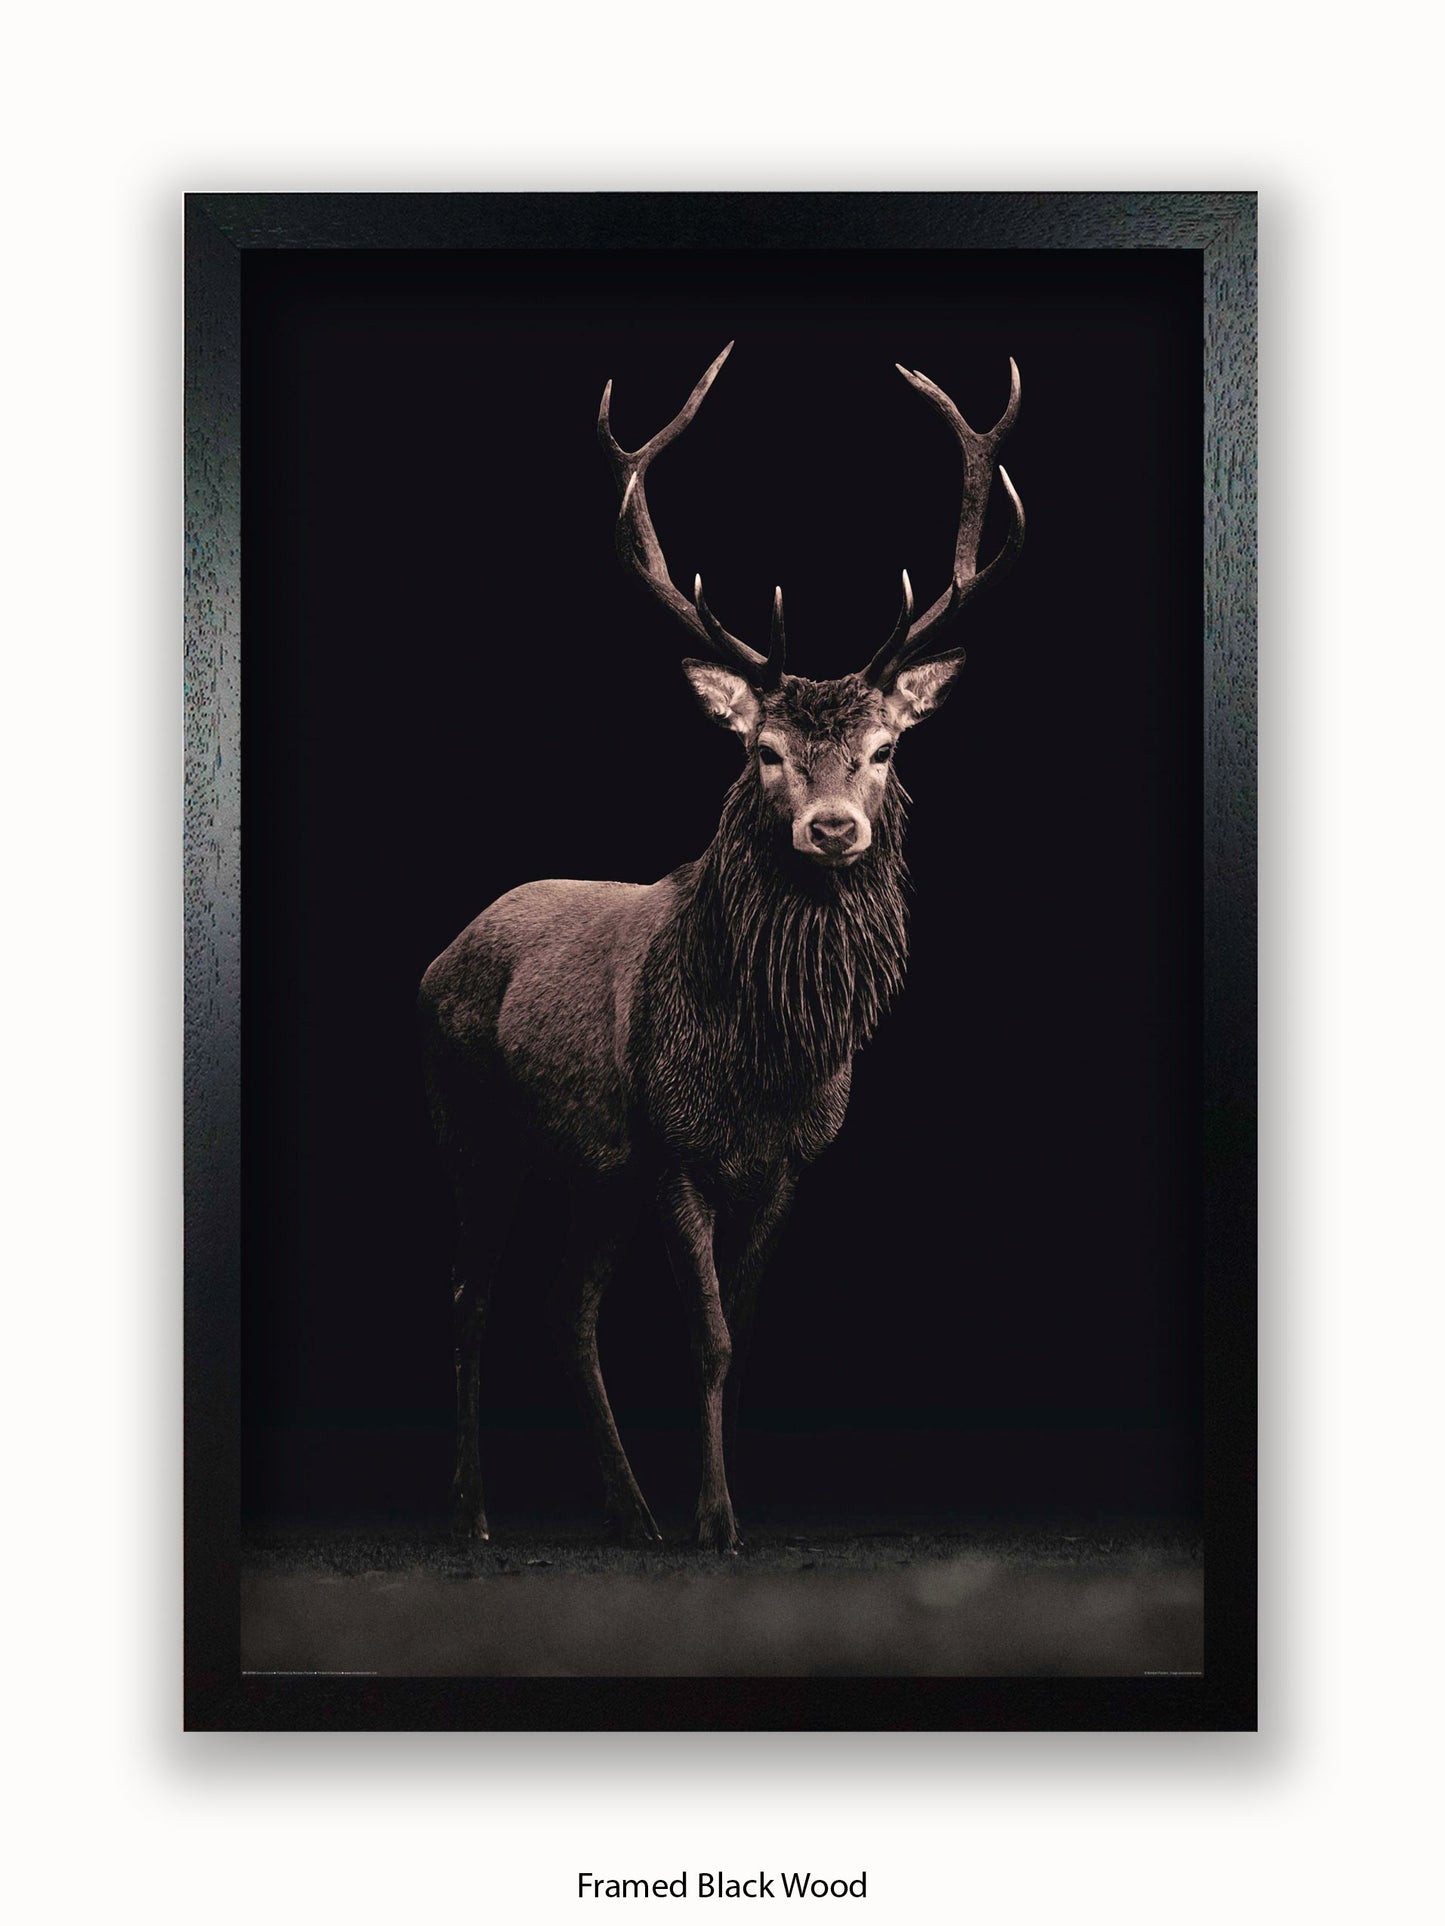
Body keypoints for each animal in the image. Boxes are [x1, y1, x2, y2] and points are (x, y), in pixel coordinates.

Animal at [419, 342, 1024, 1552]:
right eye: (764, 751)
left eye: (884, 749)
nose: (831, 829)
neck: (764, 1063)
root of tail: (437, 958)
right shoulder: (673, 1148)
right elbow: (703, 1334)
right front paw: (715, 1518)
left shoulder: (785, 1163)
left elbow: (739, 1341)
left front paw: (718, 1501)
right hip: (473, 1122)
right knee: (471, 1295)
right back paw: (475, 1512)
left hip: (592, 1166)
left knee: (565, 1305)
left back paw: (627, 1509)